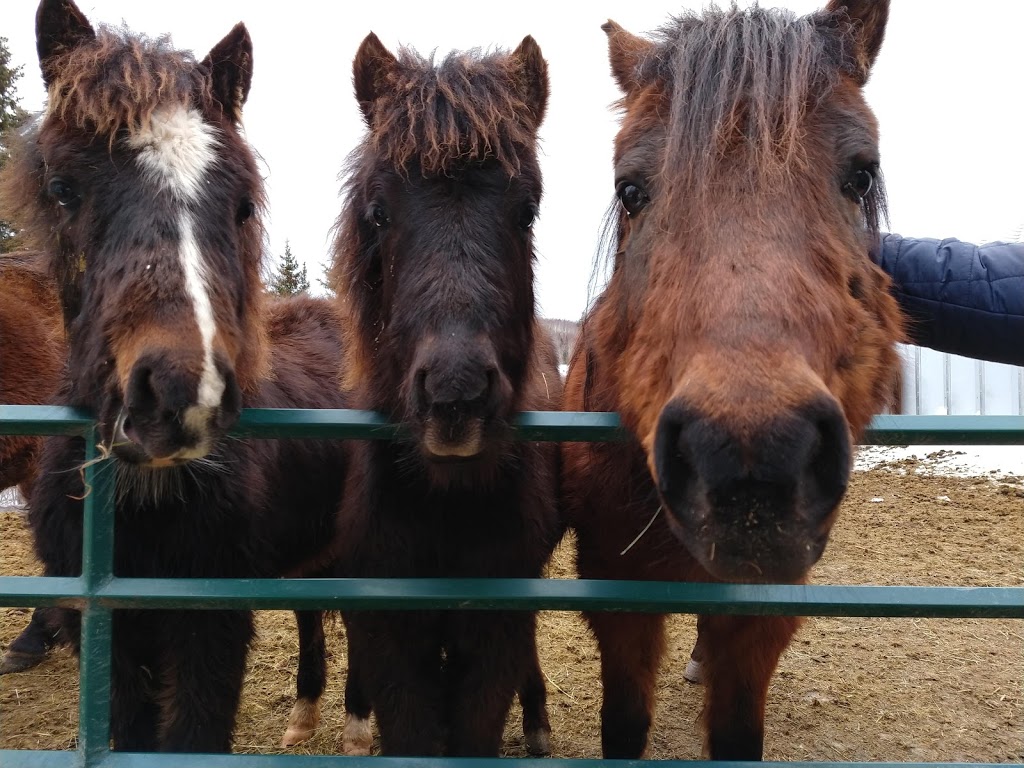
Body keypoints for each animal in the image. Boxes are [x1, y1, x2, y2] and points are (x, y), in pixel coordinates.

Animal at [0, 0, 350, 753]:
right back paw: (304, 716)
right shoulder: (111, 635)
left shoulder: (207, 630)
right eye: (63, 189)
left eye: (242, 204)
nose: (181, 399)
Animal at [327, 34, 565, 757]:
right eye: (379, 212)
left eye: (527, 210)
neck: (443, 503)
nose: (456, 397)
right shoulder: (389, 634)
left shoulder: (493, 632)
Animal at [565, 0, 909, 757]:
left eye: (861, 175)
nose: (752, 459)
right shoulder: (617, 598)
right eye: (630, 189)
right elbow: (625, 721)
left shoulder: (762, 618)